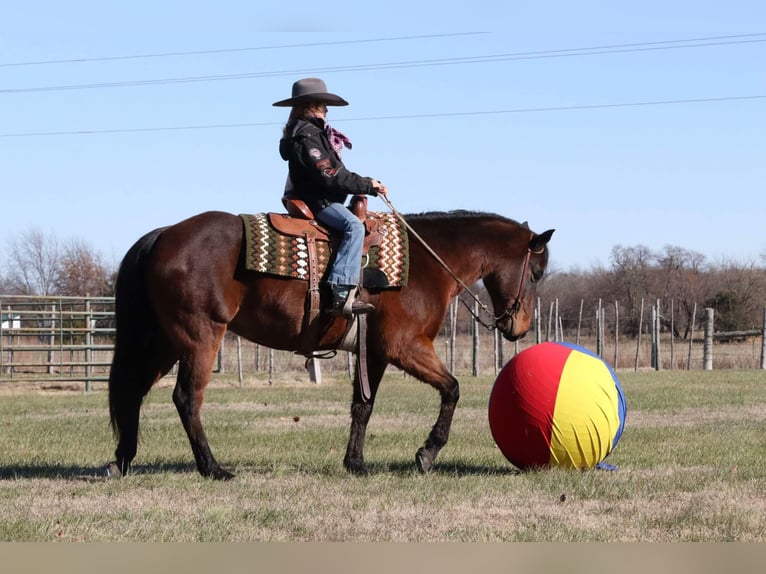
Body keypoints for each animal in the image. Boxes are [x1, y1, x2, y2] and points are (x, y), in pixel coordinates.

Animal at [106, 209, 552, 480]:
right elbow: (453, 388)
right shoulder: (405, 346)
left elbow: (363, 406)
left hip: (163, 342)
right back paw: (212, 467)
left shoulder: (375, 353)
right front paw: (427, 453)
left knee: (132, 392)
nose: (519, 328)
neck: (427, 263)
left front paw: (355, 462)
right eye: (536, 273)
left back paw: (122, 460)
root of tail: (163, 235)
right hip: (200, 338)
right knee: (186, 398)